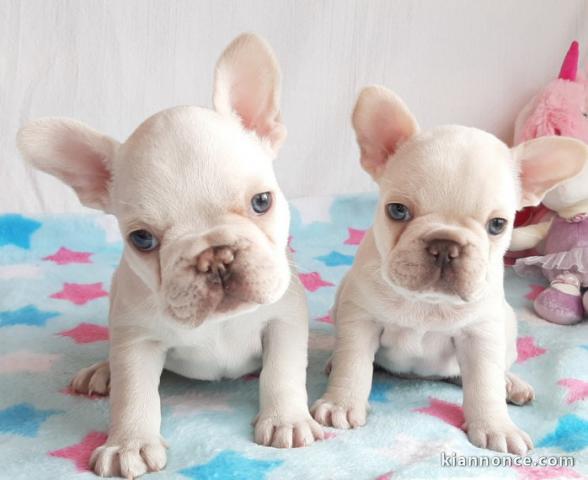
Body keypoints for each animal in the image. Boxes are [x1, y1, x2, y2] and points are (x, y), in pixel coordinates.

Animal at [18, 32, 324, 476]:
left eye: (262, 201)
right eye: (142, 239)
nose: (215, 256)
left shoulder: (283, 320)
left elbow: (282, 372)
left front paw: (286, 419)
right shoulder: (135, 340)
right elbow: (134, 394)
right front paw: (128, 444)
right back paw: (101, 372)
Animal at [312, 84, 588, 456]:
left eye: (498, 225)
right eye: (397, 210)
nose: (445, 245)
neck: (427, 302)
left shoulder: (481, 334)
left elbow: (484, 383)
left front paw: (496, 426)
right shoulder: (360, 320)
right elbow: (353, 364)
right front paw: (341, 404)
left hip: (507, 327)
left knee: (490, 370)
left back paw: (510, 383)